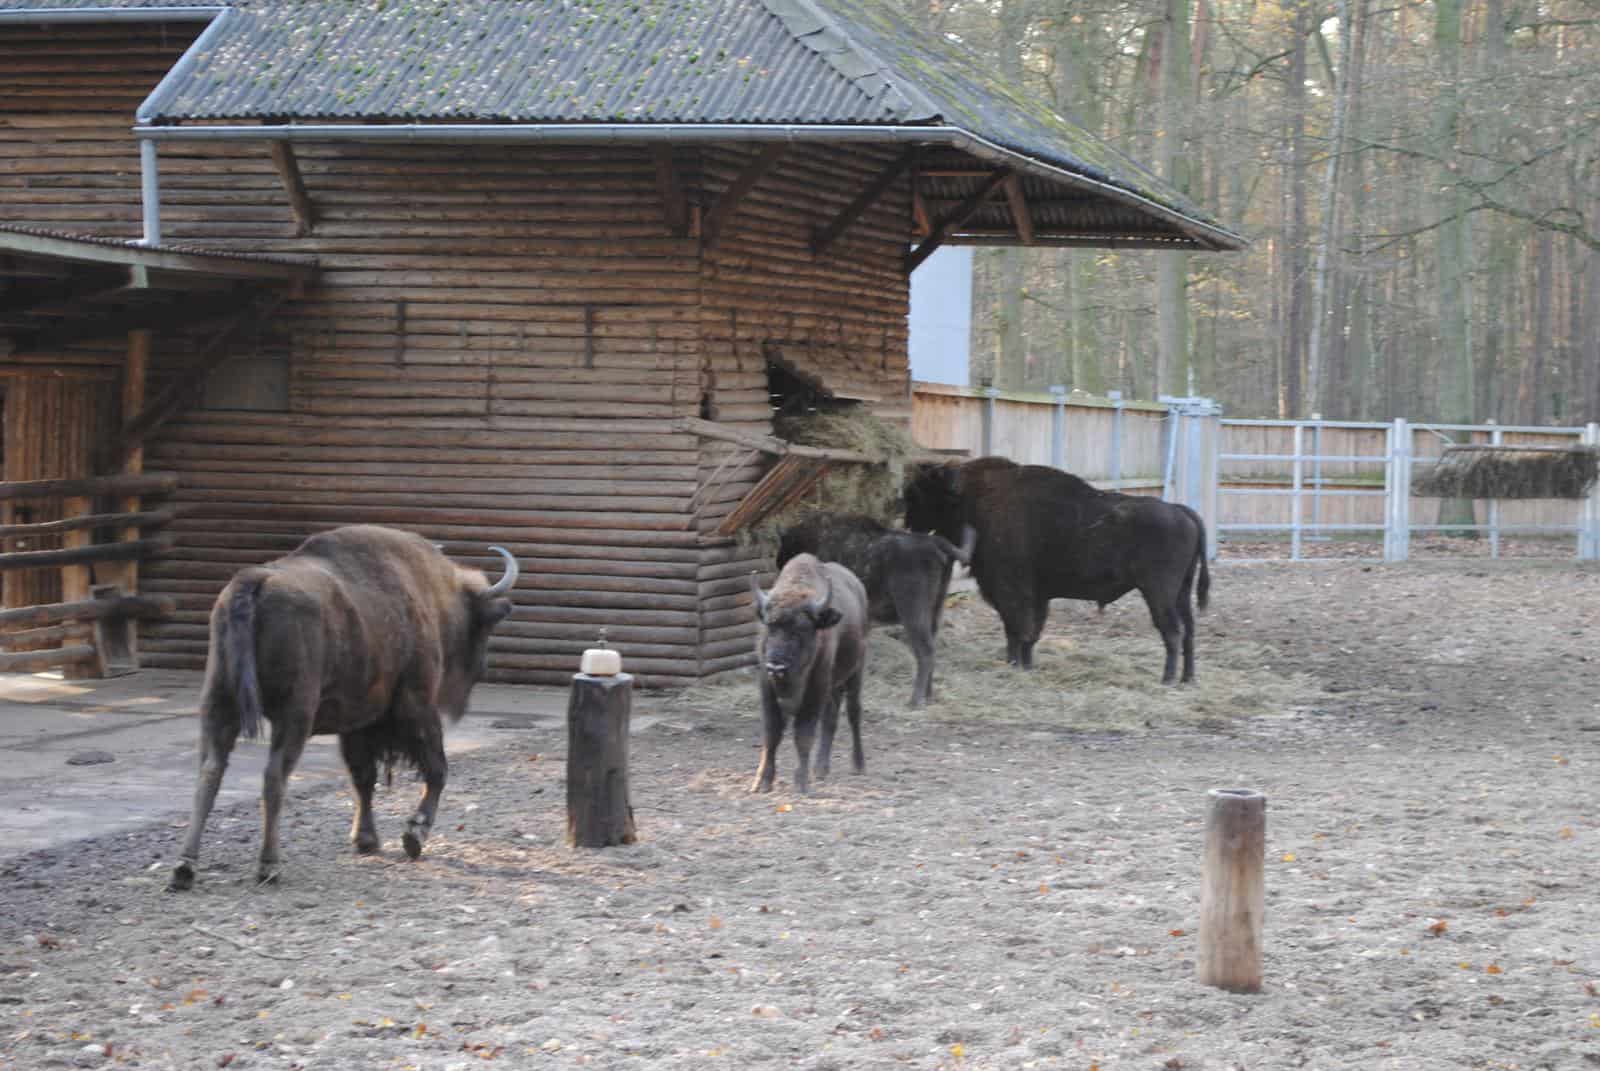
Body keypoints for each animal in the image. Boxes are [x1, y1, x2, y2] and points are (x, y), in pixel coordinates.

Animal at [171, 525, 515, 883]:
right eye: (483, 627)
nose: (483, 668)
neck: (429, 593)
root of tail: (254, 580)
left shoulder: (357, 721)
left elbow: (363, 778)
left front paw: (366, 840)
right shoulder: (416, 706)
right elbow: (436, 769)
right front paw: (414, 835)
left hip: (219, 702)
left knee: (210, 771)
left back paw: (185, 867)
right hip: (294, 715)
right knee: (274, 776)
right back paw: (269, 865)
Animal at [745, 550, 870, 794]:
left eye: (801, 629)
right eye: (769, 626)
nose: (776, 667)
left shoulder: (814, 690)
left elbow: (803, 734)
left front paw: (801, 783)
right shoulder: (768, 689)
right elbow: (772, 734)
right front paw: (762, 782)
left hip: (855, 672)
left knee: (853, 713)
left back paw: (858, 765)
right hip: (833, 686)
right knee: (830, 718)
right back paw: (820, 769)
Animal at [774, 512, 972, 704]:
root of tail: (935, 542)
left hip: (912, 611)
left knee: (926, 651)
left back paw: (915, 700)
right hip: (935, 609)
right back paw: (928, 696)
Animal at [902, 454, 1209, 681]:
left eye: (921, 493)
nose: (908, 522)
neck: (972, 496)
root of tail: (1182, 511)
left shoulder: (1011, 592)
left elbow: (1016, 629)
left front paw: (1014, 664)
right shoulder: (1038, 596)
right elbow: (1030, 633)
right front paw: (1025, 665)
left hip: (1159, 592)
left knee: (1172, 631)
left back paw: (1167, 679)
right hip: (1181, 591)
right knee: (1189, 630)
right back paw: (1187, 679)